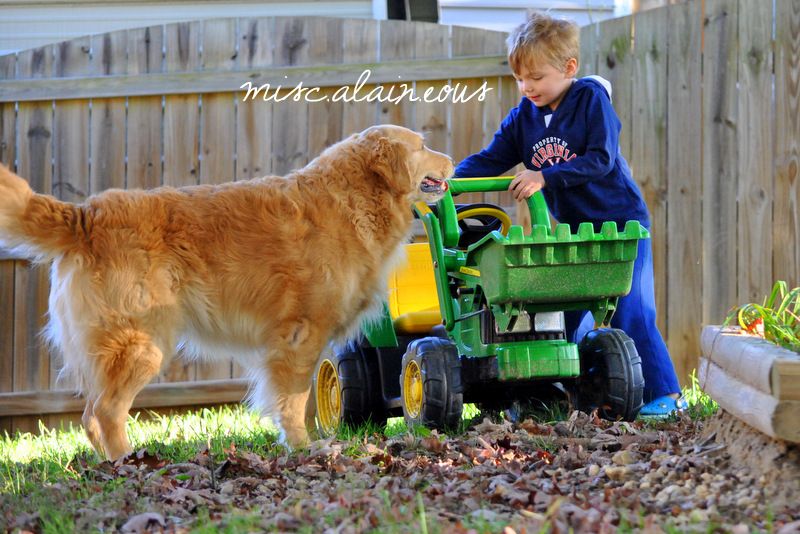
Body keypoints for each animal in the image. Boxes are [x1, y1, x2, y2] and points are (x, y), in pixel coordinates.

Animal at [0, 124, 450, 460]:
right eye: (422, 146)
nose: (451, 160)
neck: (350, 199)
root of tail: (86, 215)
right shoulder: (299, 336)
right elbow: (293, 400)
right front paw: (303, 447)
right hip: (141, 345)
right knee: (105, 413)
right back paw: (127, 461)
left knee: (91, 416)